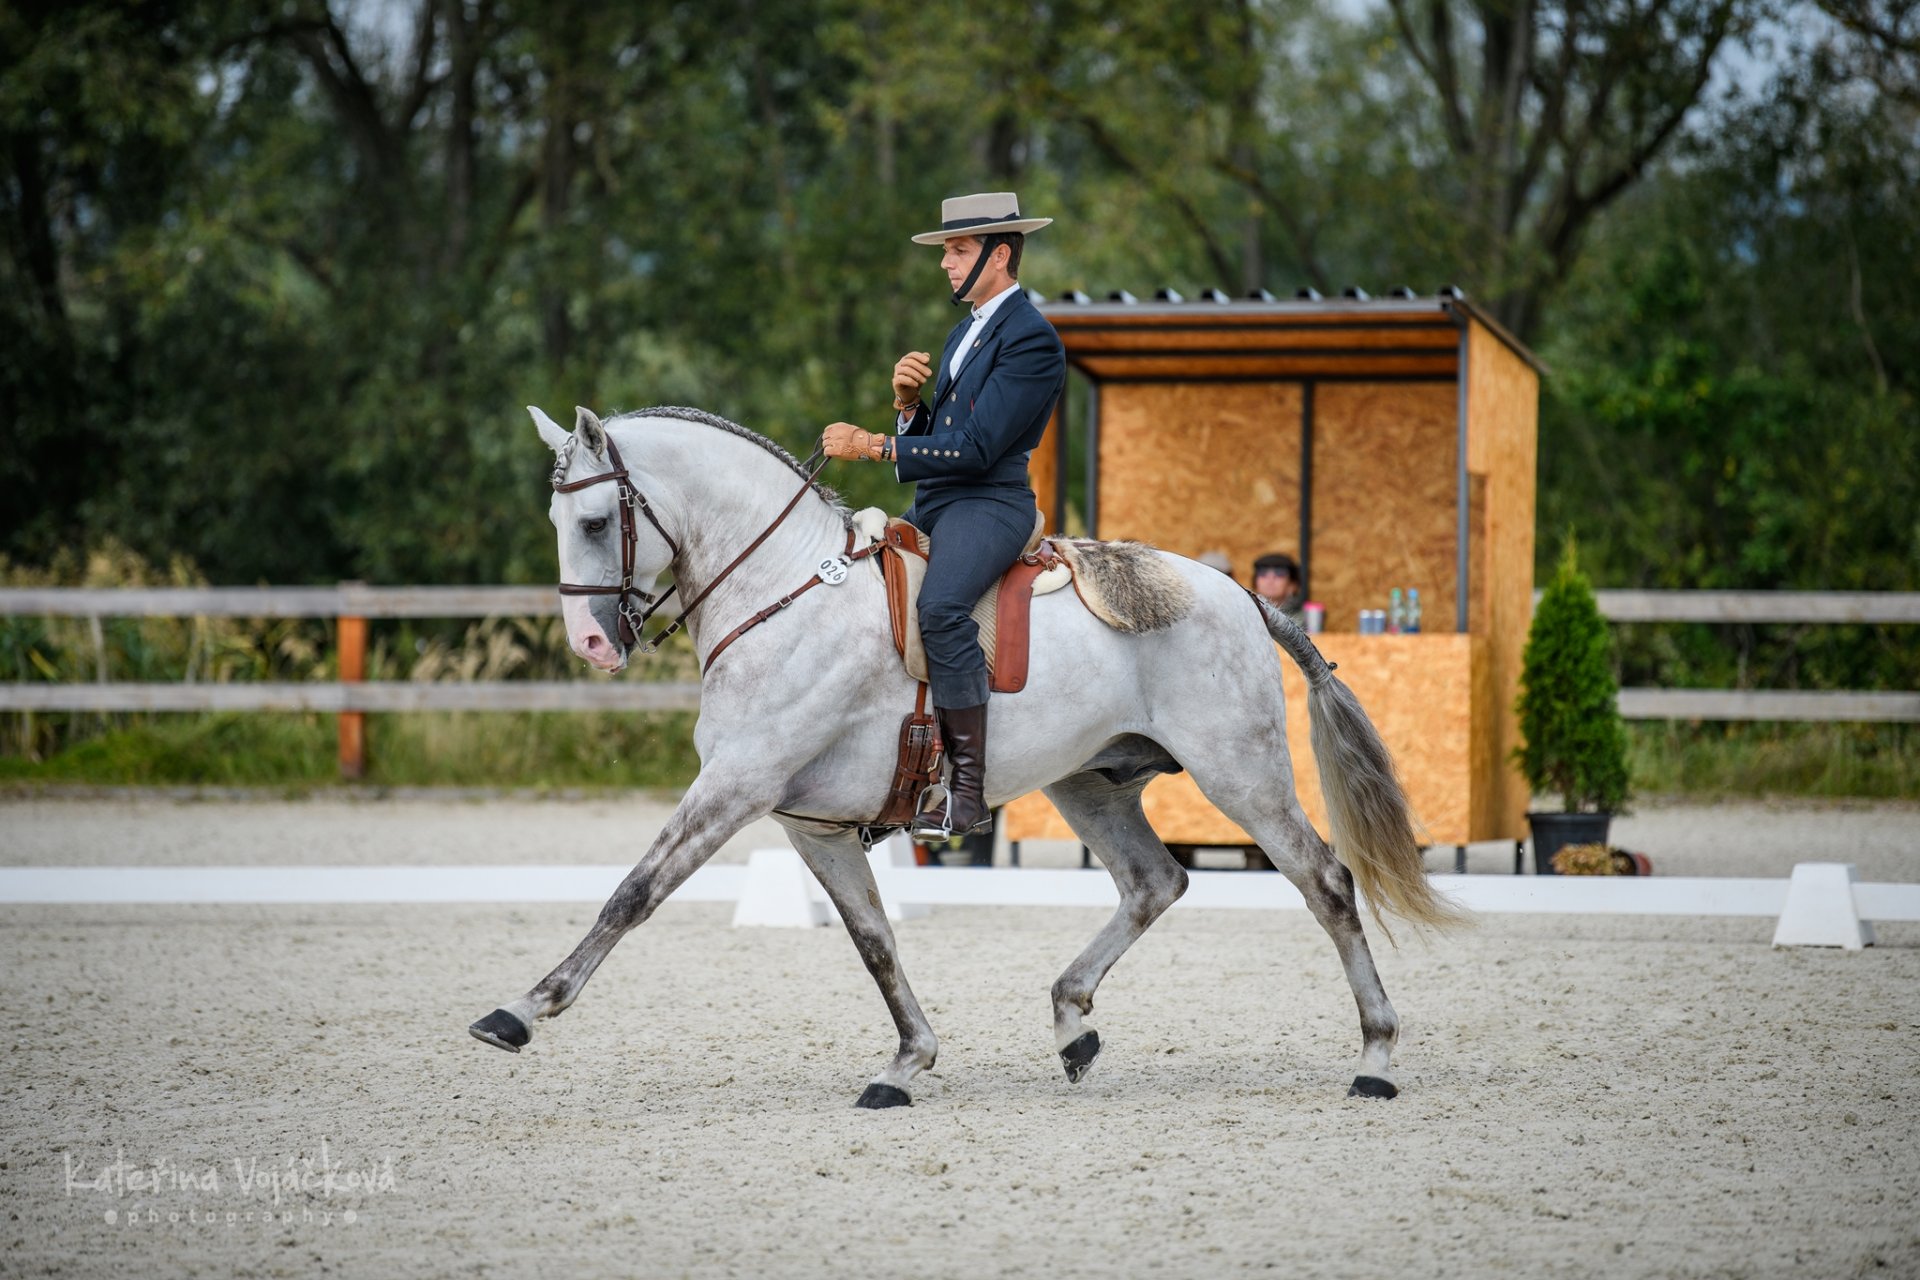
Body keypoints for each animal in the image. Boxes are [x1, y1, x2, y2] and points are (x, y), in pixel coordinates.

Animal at [472, 404, 1459, 1105]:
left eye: (593, 521)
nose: (590, 646)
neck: (782, 592)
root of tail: (1240, 595)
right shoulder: (809, 824)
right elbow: (873, 940)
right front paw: (907, 1063)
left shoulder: (737, 786)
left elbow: (633, 892)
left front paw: (523, 1010)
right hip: (1091, 785)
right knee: (1155, 883)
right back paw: (1071, 1024)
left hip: (1239, 772)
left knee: (1325, 884)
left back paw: (1375, 1057)